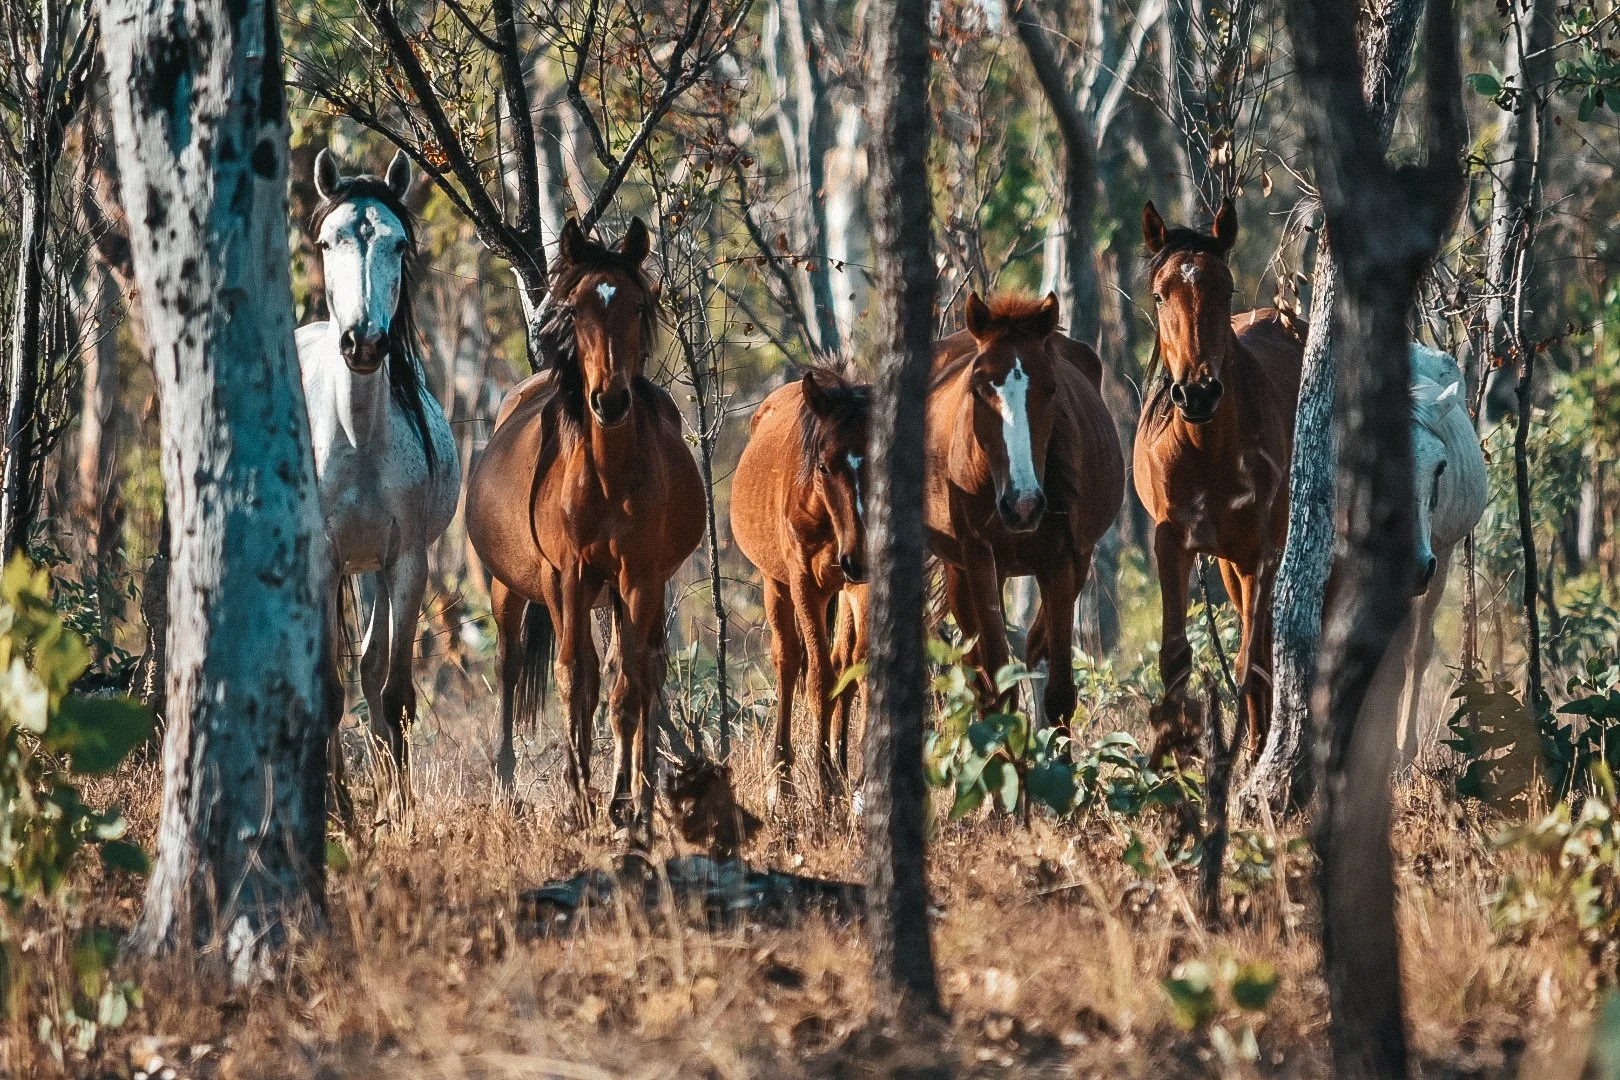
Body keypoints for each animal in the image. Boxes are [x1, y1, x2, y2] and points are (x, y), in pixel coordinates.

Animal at [465, 217, 704, 829]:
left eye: (640, 306)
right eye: (574, 310)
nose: (610, 401)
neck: (608, 479)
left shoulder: (639, 576)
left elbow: (626, 686)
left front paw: (625, 799)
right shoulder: (567, 576)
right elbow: (575, 677)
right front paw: (578, 796)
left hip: (626, 588)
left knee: (640, 670)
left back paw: (640, 787)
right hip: (511, 588)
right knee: (509, 664)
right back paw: (507, 781)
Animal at [730, 368, 871, 805]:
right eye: (824, 465)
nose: (857, 558)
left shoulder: (860, 585)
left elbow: (855, 669)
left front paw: (857, 782)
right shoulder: (805, 584)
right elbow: (819, 679)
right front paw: (824, 786)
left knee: (843, 660)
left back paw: (842, 769)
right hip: (774, 582)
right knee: (788, 660)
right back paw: (784, 783)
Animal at [924, 292, 1124, 726]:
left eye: (1051, 388)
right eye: (978, 388)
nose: (1024, 504)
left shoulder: (1063, 561)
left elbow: (1059, 691)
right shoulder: (979, 560)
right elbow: (998, 687)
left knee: (1035, 646)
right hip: (961, 571)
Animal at [1133, 199, 1303, 759]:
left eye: (1225, 289)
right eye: (1160, 293)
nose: (1198, 392)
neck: (1207, 453)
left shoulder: (1260, 552)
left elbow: (1251, 664)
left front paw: (1247, 762)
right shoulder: (1171, 543)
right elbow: (1174, 657)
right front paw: (1171, 751)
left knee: (1265, 651)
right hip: (1228, 564)